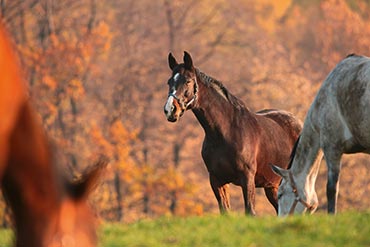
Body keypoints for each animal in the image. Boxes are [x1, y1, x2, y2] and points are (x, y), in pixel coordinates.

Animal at [163, 51, 302, 215]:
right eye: (169, 82)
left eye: (188, 81)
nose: (170, 110)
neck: (225, 132)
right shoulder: (217, 180)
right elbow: (225, 211)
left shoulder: (247, 179)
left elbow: (250, 211)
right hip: (273, 186)